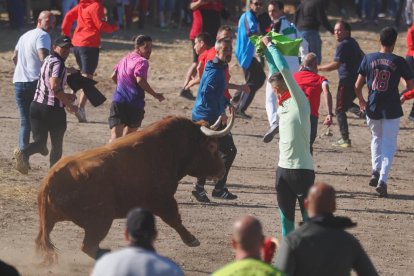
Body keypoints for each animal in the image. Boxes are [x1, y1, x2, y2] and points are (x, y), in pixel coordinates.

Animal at [35, 111, 233, 264]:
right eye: (212, 146)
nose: (222, 170)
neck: (170, 148)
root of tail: (49, 181)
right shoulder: (163, 199)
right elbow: (175, 219)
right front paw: (192, 240)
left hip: (52, 223)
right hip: (100, 221)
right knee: (88, 246)